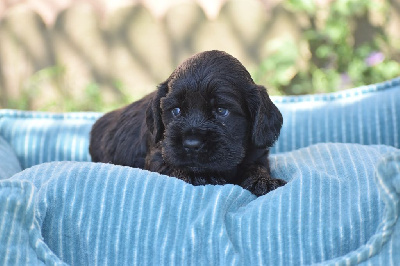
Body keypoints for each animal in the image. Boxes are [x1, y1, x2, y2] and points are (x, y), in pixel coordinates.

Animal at [89, 50, 286, 195]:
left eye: (221, 111)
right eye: (176, 111)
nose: (192, 144)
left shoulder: (257, 155)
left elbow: (256, 166)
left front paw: (263, 180)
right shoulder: (158, 154)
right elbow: (172, 165)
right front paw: (199, 175)